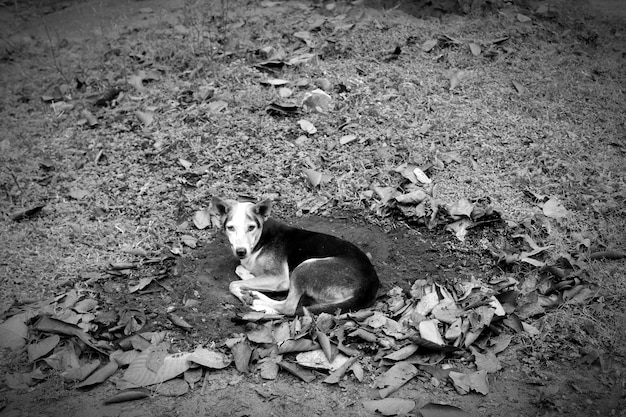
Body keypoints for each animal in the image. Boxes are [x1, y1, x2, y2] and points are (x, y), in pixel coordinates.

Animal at [210, 197, 378, 314]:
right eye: (230, 228)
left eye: (251, 227)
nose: (241, 251)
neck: (261, 239)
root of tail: (369, 287)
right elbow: (240, 268)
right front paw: (249, 277)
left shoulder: (279, 277)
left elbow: (233, 284)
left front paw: (244, 291)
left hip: (305, 267)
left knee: (288, 307)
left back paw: (258, 301)